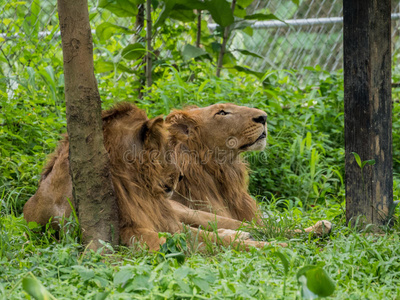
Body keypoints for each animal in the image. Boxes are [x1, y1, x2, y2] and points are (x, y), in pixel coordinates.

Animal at [23, 103, 284, 251]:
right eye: (222, 112)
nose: (264, 117)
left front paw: (275, 245)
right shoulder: (131, 233)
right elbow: (204, 241)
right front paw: (275, 248)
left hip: (183, 210)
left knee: (235, 224)